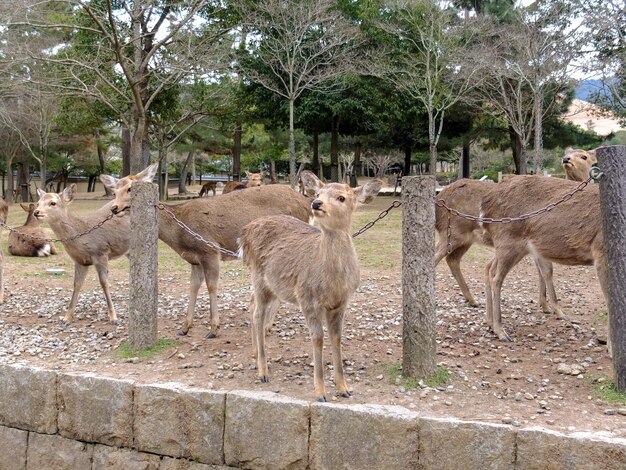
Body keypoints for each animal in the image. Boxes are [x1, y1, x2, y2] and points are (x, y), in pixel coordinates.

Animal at [34, 182, 130, 324]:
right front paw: (66, 318)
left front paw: (113, 317)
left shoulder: (101, 252)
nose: (36, 212)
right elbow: (76, 284)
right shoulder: (80, 261)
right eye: (38, 202)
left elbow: (104, 283)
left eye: (53, 203)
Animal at [102, 164, 312, 338]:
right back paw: (267, 325)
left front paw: (214, 329)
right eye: (114, 190)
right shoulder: (194, 259)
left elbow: (212, 286)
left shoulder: (209, 250)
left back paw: (267, 326)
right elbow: (193, 287)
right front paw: (185, 327)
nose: (114, 208)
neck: (179, 234)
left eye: (130, 188)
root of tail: (306, 205)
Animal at [239, 171, 382, 402]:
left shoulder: (341, 303)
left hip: (271, 286)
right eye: (318, 193)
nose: (316, 204)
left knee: (252, 306)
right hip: (259, 277)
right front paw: (321, 393)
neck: (332, 282)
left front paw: (344, 388)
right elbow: (318, 338)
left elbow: (337, 338)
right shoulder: (307, 298)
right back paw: (263, 371)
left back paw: (255, 354)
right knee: (257, 314)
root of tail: (245, 232)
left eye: (342, 197)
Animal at [432, 178, 564, 318]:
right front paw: (557, 310)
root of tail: (438, 201)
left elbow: (542, 271)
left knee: (452, 259)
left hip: (465, 239)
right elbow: (547, 270)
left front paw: (545, 306)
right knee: (436, 257)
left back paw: (472, 300)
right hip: (452, 232)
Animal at [478, 176, 604, 348]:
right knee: (496, 278)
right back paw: (501, 331)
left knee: (489, 267)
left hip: (515, 248)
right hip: (508, 241)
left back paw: (490, 323)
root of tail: (484, 204)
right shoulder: (601, 251)